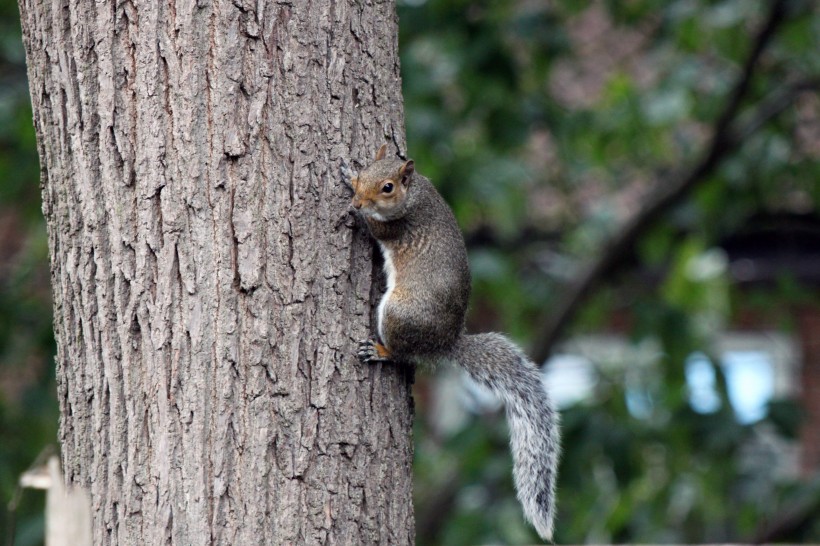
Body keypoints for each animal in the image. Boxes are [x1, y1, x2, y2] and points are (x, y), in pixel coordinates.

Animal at [342, 142, 560, 536]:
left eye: (387, 188)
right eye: (367, 171)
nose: (357, 202)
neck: (415, 194)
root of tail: (446, 342)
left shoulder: (396, 227)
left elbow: (376, 229)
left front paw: (351, 195)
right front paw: (348, 173)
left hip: (398, 313)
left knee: (403, 354)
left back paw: (380, 350)